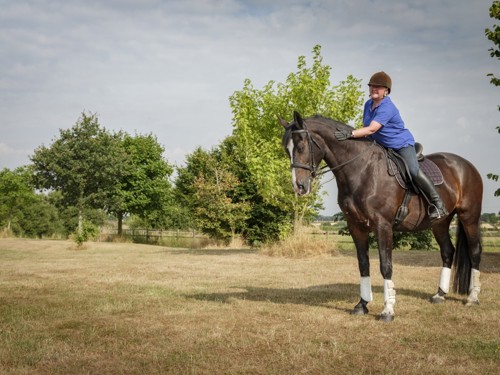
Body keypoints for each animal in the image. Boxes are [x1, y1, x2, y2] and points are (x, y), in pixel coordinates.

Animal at [280, 110, 482, 322]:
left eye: (301, 146)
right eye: (287, 149)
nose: (299, 186)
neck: (362, 170)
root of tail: (465, 165)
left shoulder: (382, 225)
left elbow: (386, 265)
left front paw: (388, 310)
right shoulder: (356, 226)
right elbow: (363, 264)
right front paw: (362, 305)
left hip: (469, 216)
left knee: (475, 251)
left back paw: (472, 297)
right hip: (440, 223)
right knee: (447, 252)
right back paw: (440, 295)